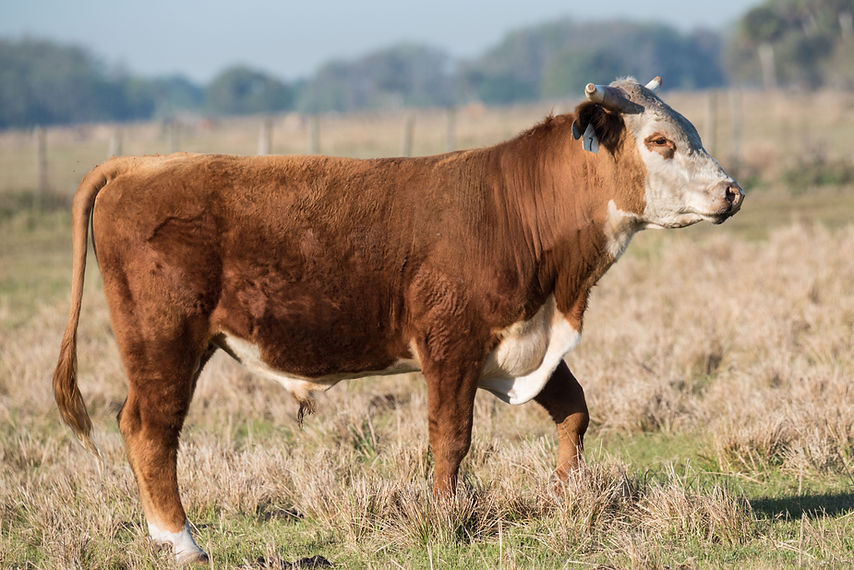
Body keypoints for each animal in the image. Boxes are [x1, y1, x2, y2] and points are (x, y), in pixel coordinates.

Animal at [53, 77, 743, 563]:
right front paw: (444, 519)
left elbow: (574, 410)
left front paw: (570, 497)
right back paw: (181, 542)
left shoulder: (517, 346)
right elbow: (451, 437)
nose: (732, 192)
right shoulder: (451, 346)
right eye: (660, 142)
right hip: (165, 342)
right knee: (149, 430)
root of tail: (142, 163)